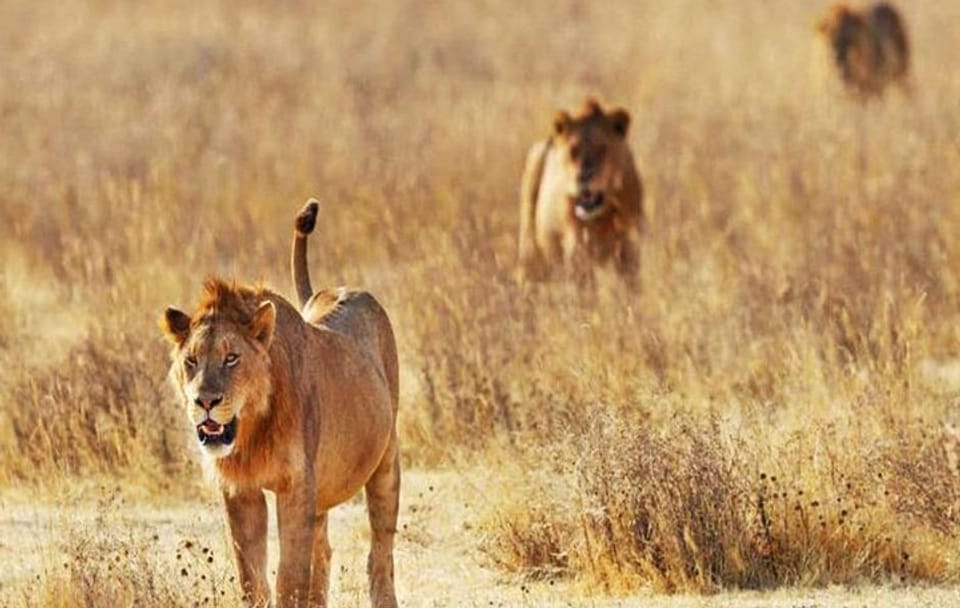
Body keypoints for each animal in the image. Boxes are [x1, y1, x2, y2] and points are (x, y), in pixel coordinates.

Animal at [161, 199, 400, 608]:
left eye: (231, 358)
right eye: (191, 360)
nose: (205, 400)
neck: (252, 431)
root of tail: (336, 290)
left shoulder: (296, 487)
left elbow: (289, 578)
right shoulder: (240, 492)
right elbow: (252, 578)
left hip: (386, 461)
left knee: (380, 552)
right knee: (324, 550)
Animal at [517, 98, 644, 288]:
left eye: (602, 148)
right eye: (573, 150)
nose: (583, 177)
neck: (603, 214)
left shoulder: (630, 246)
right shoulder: (578, 249)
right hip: (531, 254)